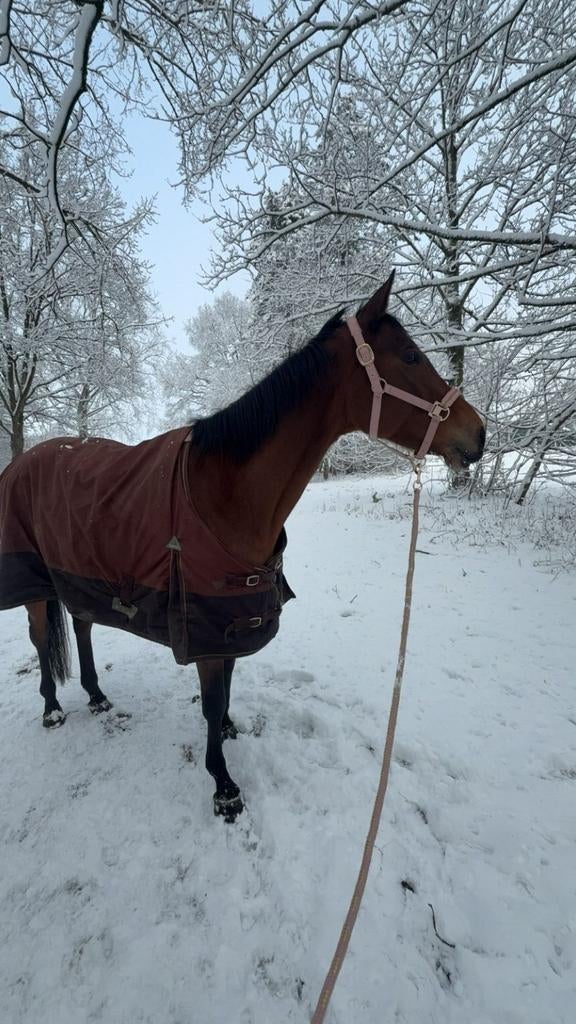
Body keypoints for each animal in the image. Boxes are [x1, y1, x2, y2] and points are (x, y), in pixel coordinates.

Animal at [0, 273, 484, 822]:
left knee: (81, 625)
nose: (479, 434)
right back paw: (52, 709)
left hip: (81, 574)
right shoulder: (204, 623)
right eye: (409, 356)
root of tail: (22, 461)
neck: (222, 492)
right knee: (42, 639)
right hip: (35, 583)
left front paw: (229, 732)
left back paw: (97, 696)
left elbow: (227, 686)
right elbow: (211, 700)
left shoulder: (230, 616)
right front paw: (223, 784)